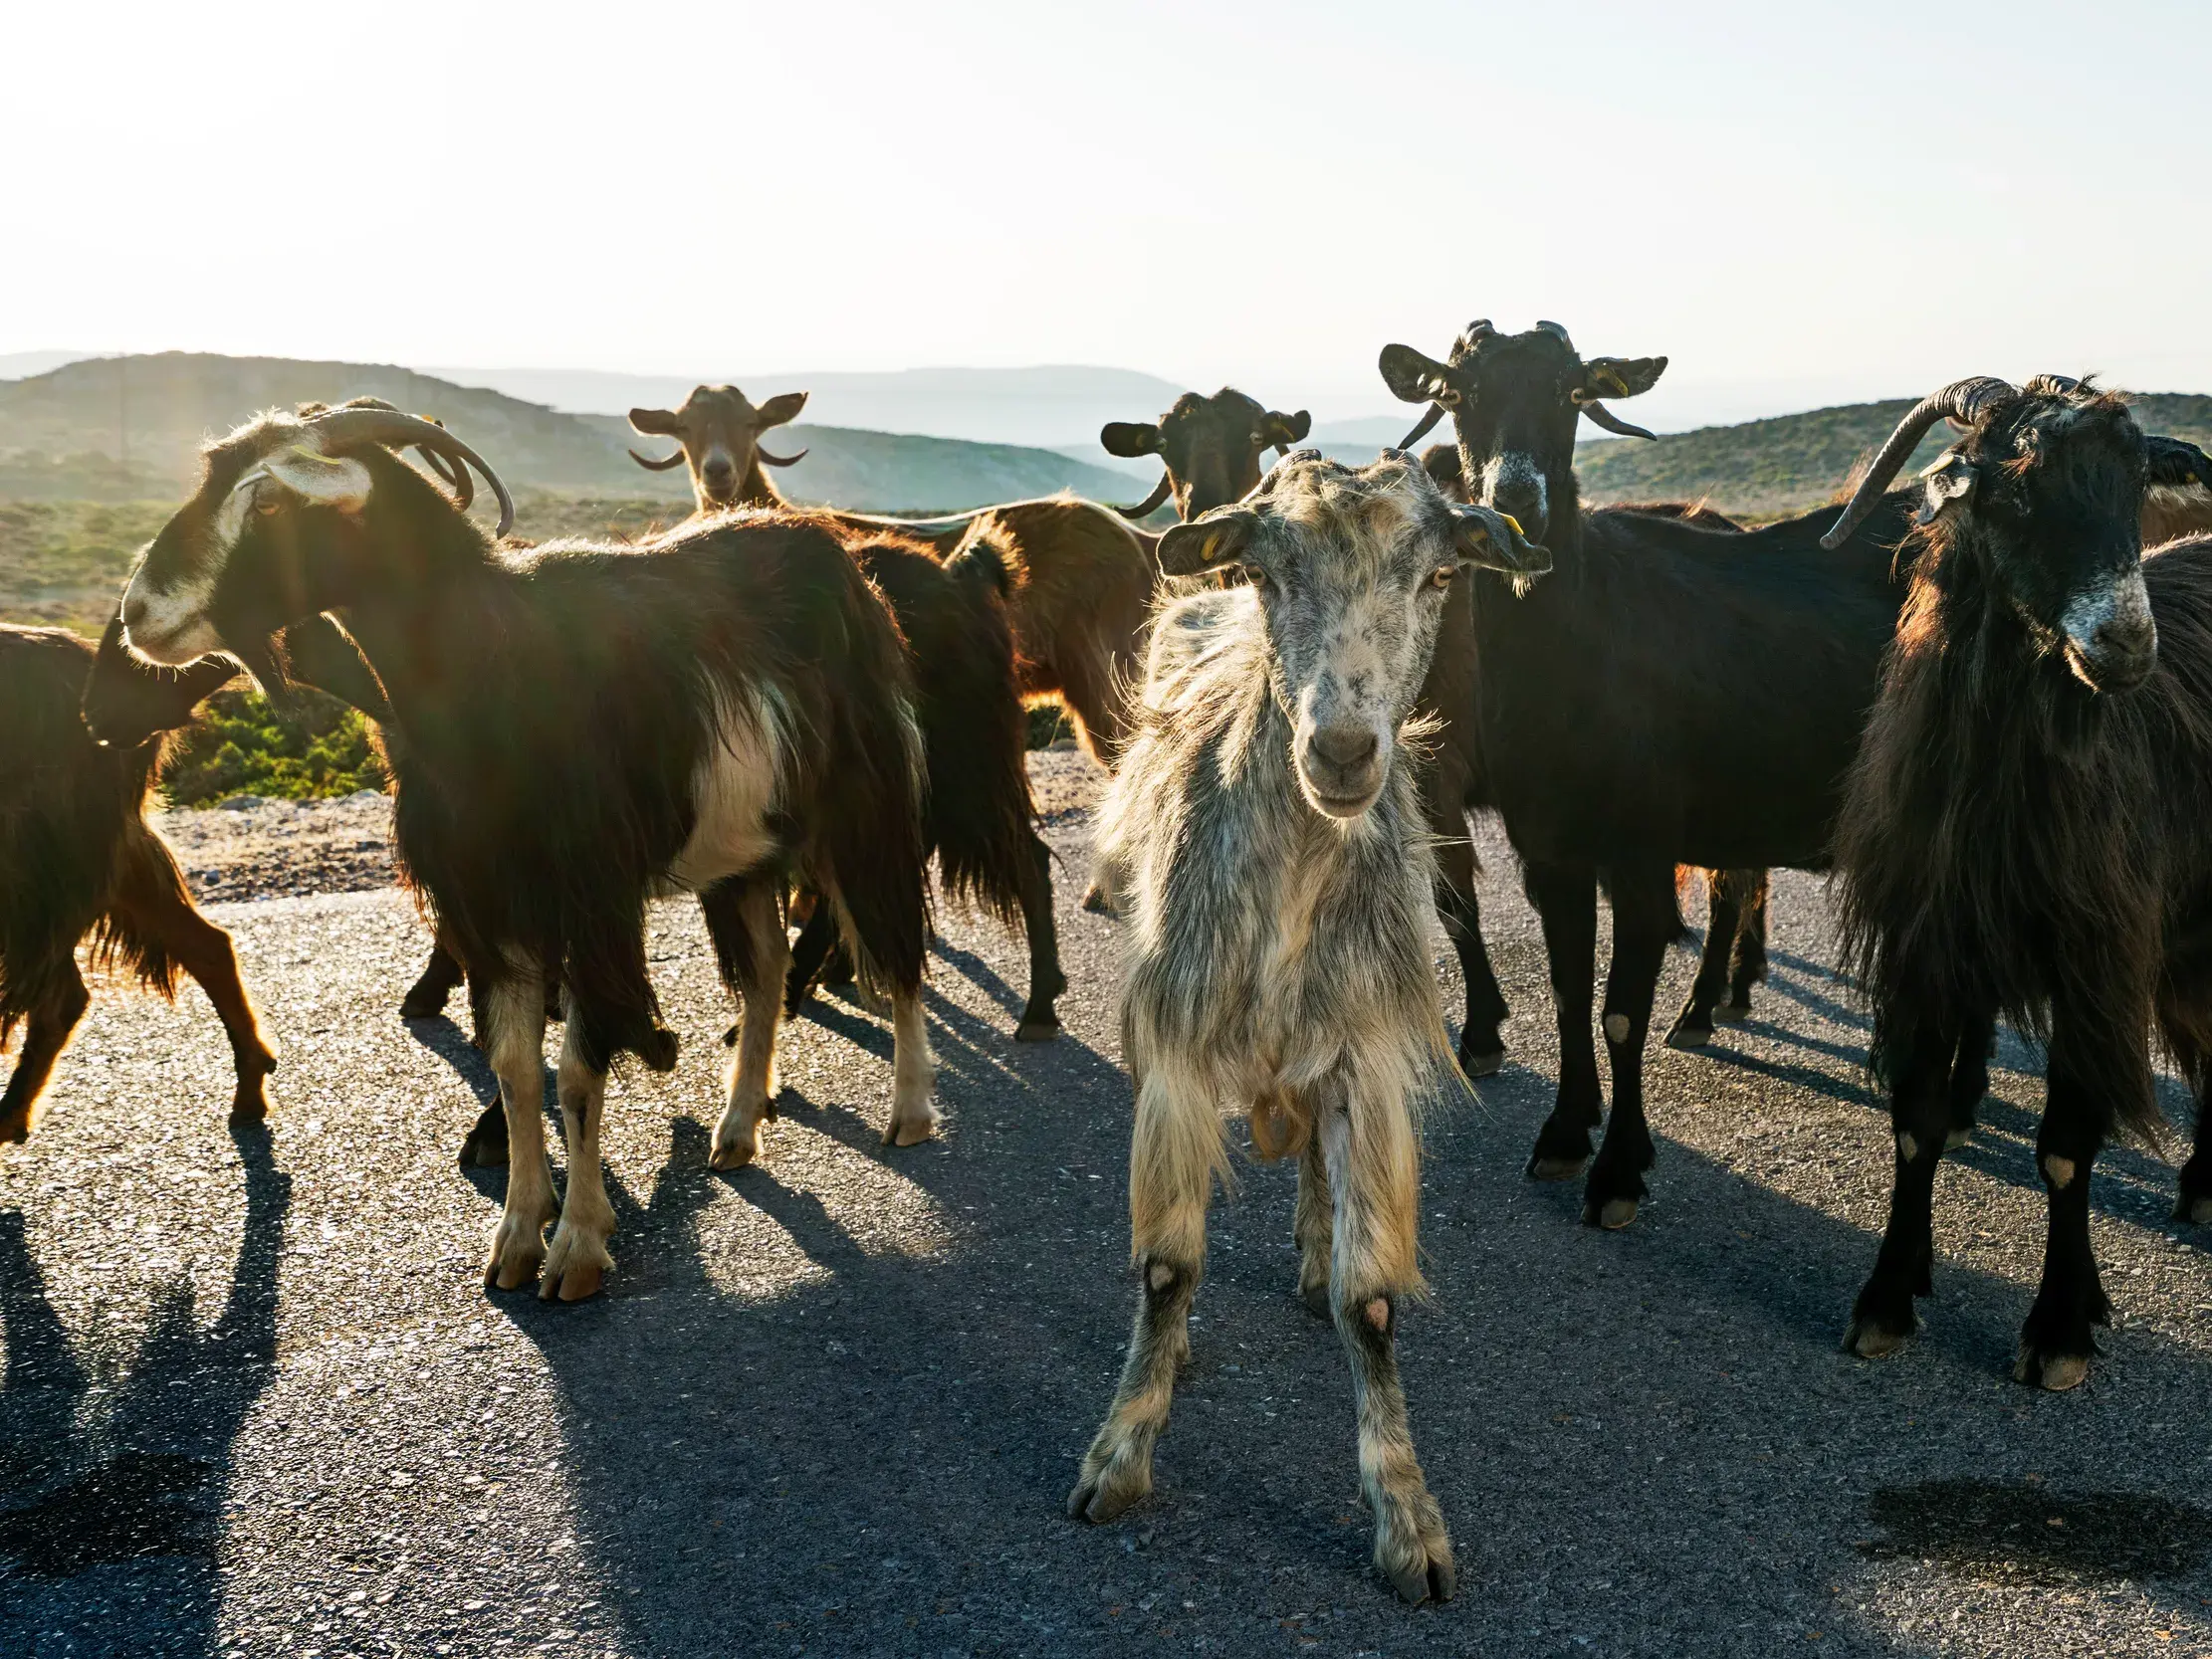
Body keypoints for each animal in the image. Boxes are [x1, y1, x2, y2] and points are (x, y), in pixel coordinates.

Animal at [108, 403, 936, 1302]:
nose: (138, 613)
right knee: (767, 970)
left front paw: (576, 1246)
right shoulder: (491, 899)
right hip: (745, 845)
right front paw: (513, 1236)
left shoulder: (591, 898)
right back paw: (739, 1126)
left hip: (865, 805)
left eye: (266, 502)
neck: (493, 660)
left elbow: (575, 1071)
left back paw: (910, 1113)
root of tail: (837, 558)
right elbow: (514, 1068)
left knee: (897, 945)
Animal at [1066, 450, 1548, 1603]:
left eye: (1435, 576)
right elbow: (1167, 1267)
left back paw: (1308, 1247)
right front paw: (1120, 1449)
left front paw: (1407, 1517)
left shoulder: (1364, 1058)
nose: (1339, 751)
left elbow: (1369, 1300)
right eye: (1266, 571)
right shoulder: (1177, 1048)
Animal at [1379, 318, 1931, 1227]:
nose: (1516, 502)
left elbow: (1619, 1013)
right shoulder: (1551, 851)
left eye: (1571, 392)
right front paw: (1566, 1135)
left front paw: (1618, 1173)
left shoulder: (1637, 849)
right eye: (1457, 393)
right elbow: (1570, 991)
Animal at [1828, 375, 2212, 1390]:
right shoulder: (1928, 948)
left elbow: (2067, 1153)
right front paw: (1887, 1296)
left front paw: (2061, 1328)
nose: (2126, 644)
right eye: (2015, 491)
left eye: (2134, 487)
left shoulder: (2096, 962)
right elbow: (1916, 1125)